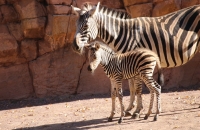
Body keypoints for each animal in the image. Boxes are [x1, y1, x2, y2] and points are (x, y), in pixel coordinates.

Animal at [72, 1, 200, 118]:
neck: (123, 34)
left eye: (86, 26)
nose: (75, 47)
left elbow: (137, 88)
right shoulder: (128, 64)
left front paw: (137, 111)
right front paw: (129, 109)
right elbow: (132, 88)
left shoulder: (135, 62)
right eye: (76, 25)